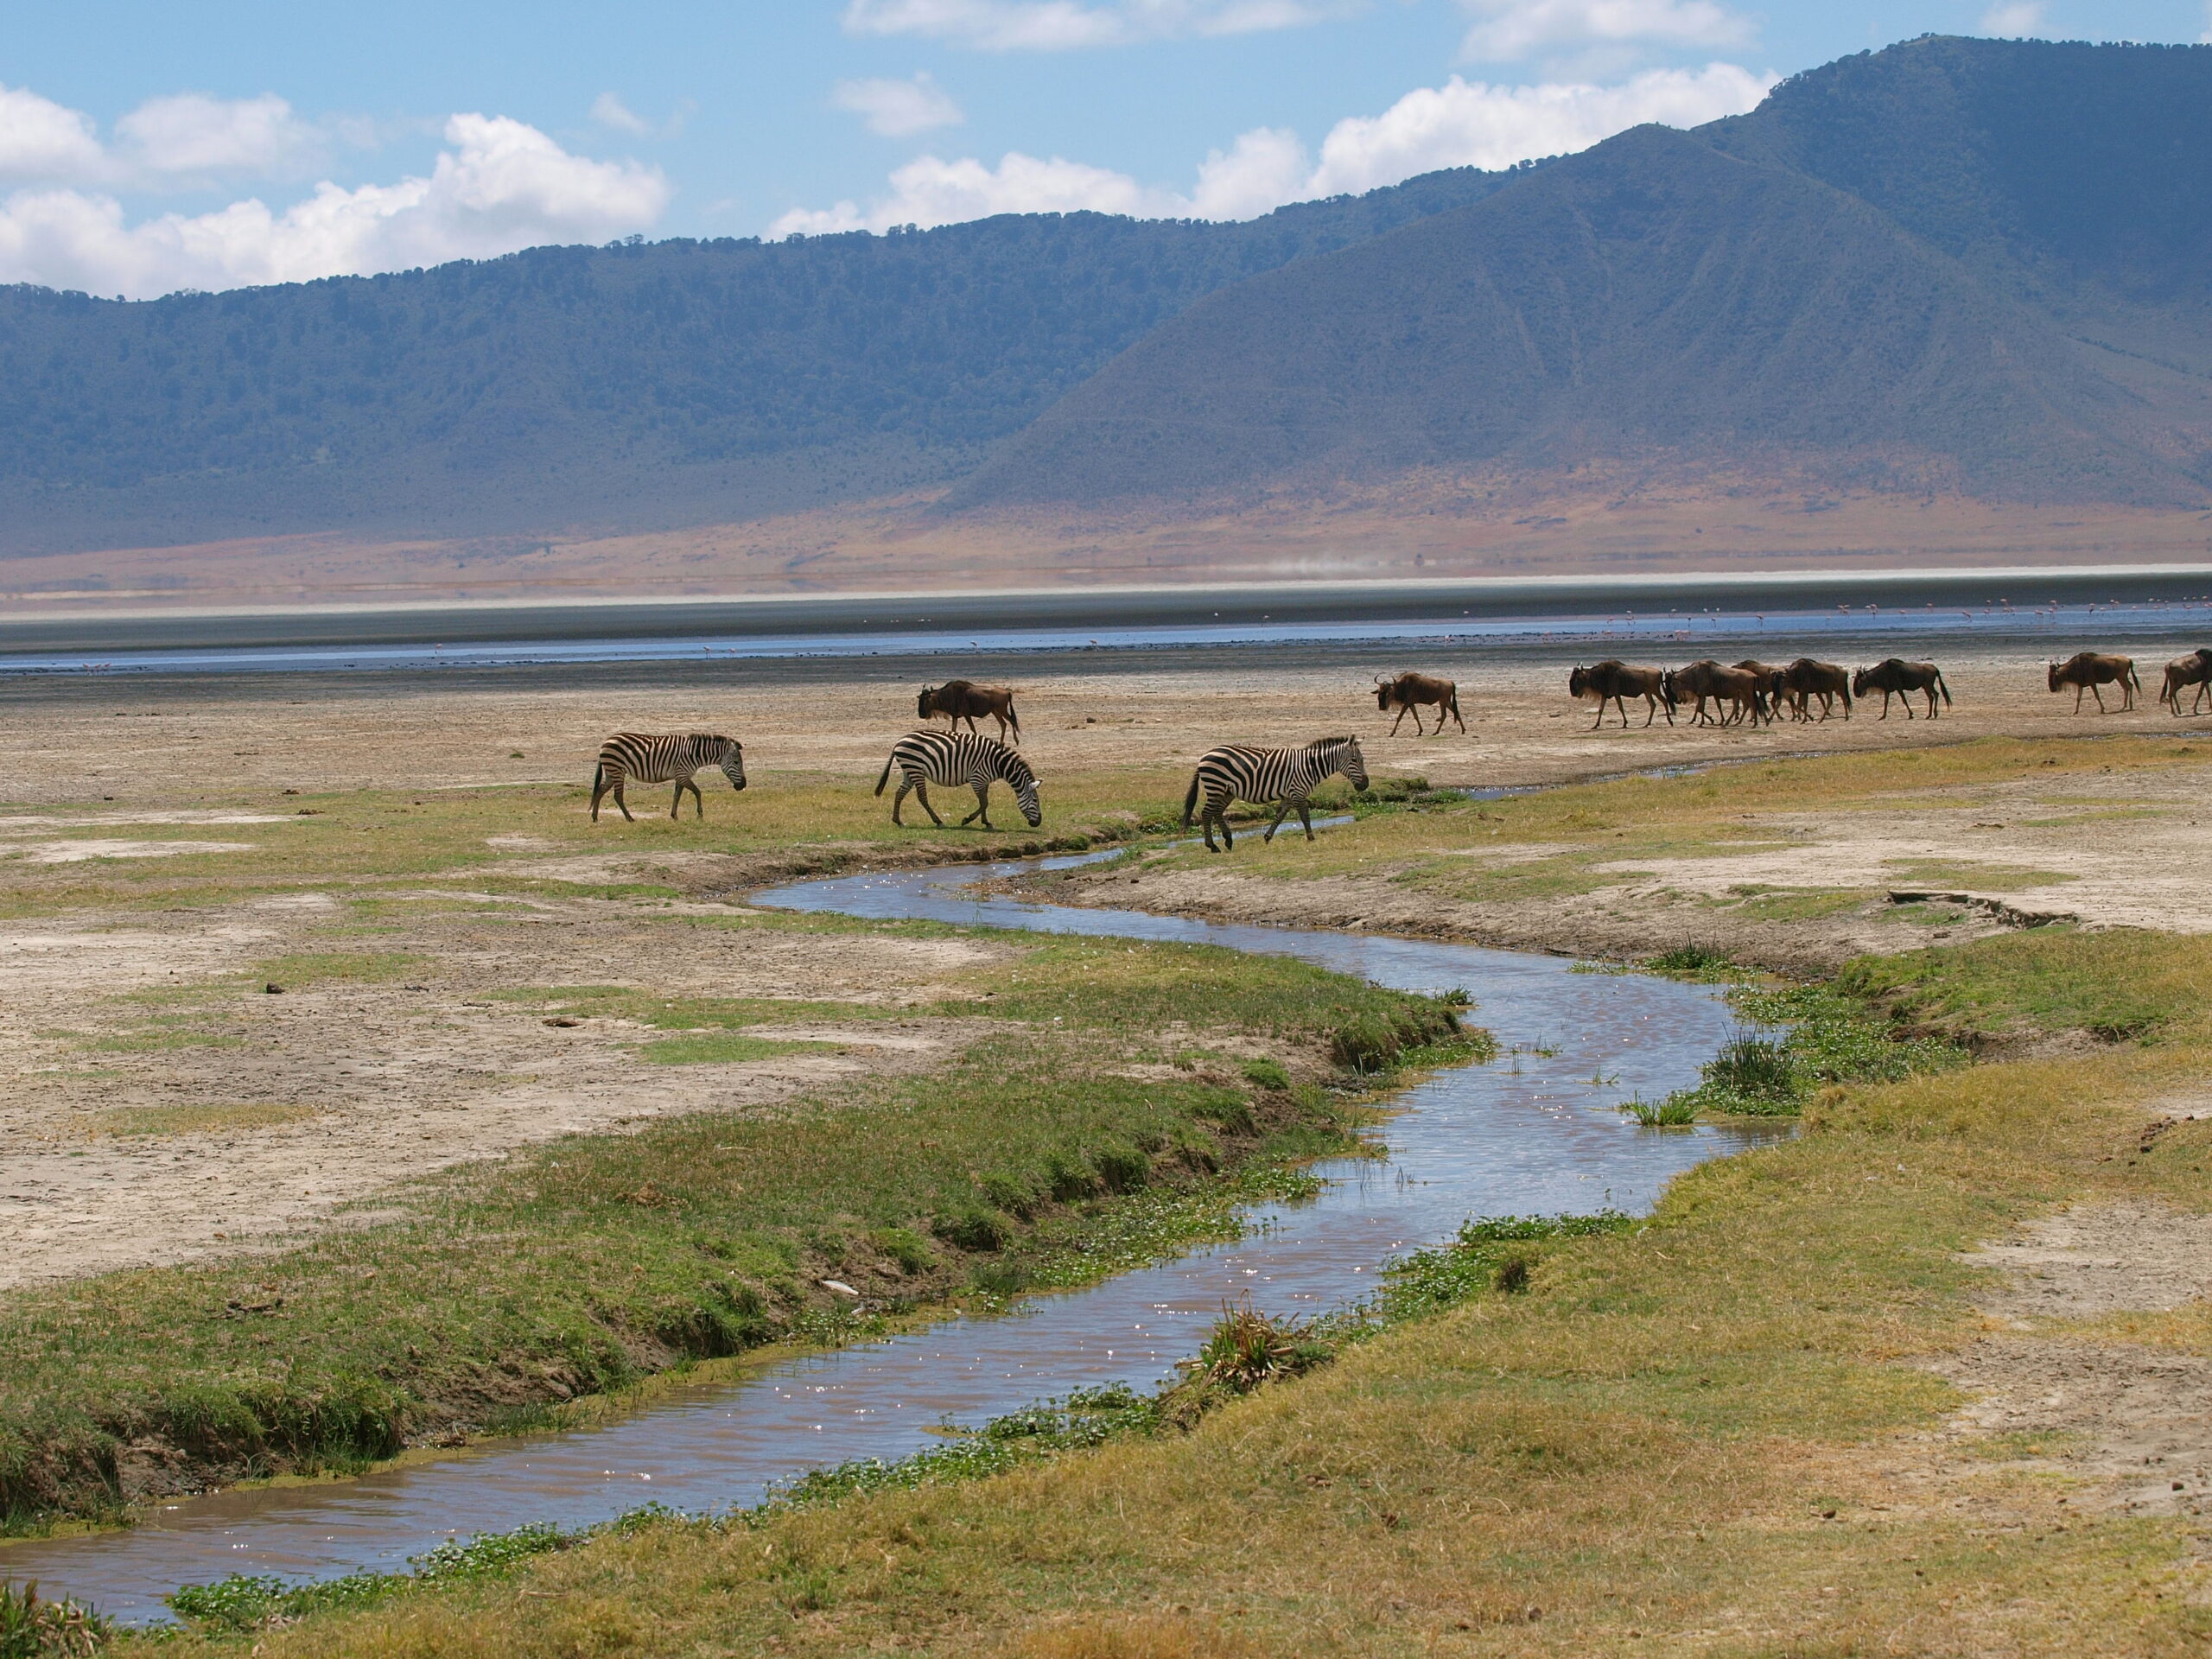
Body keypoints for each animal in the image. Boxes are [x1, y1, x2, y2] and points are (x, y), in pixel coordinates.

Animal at [589, 733, 746, 822]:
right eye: (736, 762)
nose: (743, 785)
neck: (695, 754)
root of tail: (606, 741)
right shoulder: (682, 774)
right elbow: (697, 792)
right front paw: (700, 815)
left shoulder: (680, 775)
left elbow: (676, 796)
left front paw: (674, 816)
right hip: (617, 770)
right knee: (617, 795)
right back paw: (629, 818)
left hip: (612, 772)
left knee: (601, 790)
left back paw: (595, 817)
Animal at [873, 731, 1041, 829]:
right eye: (1035, 801)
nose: (1038, 823)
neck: (999, 764)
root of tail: (899, 741)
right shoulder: (977, 778)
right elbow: (984, 802)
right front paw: (967, 820)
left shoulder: (984, 780)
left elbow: (984, 802)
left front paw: (986, 822)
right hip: (915, 769)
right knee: (921, 797)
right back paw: (938, 821)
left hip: (909, 770)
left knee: (900, 793)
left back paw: (898, 820)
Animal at [1182, 736, 1368, 853]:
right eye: (1354, 760)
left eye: (1362, 760)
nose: (1366, 785)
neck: (1310, 766)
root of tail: (1204, 756)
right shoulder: (1298, 792)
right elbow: (1305, 816)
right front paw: (1311, 838)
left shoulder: (1289, 795)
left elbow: (1279, 816)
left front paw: (1267, 837)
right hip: (1216, 786)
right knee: (1207, 813)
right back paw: (1213, 846)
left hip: (1227, 790)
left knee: (1217, 812)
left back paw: (1228, 840)